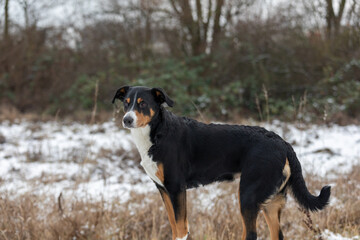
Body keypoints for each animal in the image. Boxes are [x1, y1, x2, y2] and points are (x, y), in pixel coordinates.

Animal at [111, 86, 330, 240]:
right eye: (126, 103)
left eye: (142, 103)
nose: (126, 120)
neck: (157, 134)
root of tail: (282, 143)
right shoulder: (163, 189)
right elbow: (174, 225)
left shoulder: (176, 188)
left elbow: (181, 228)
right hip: (271, 201)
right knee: (277, 234)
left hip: (248, 194)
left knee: (251, 234)